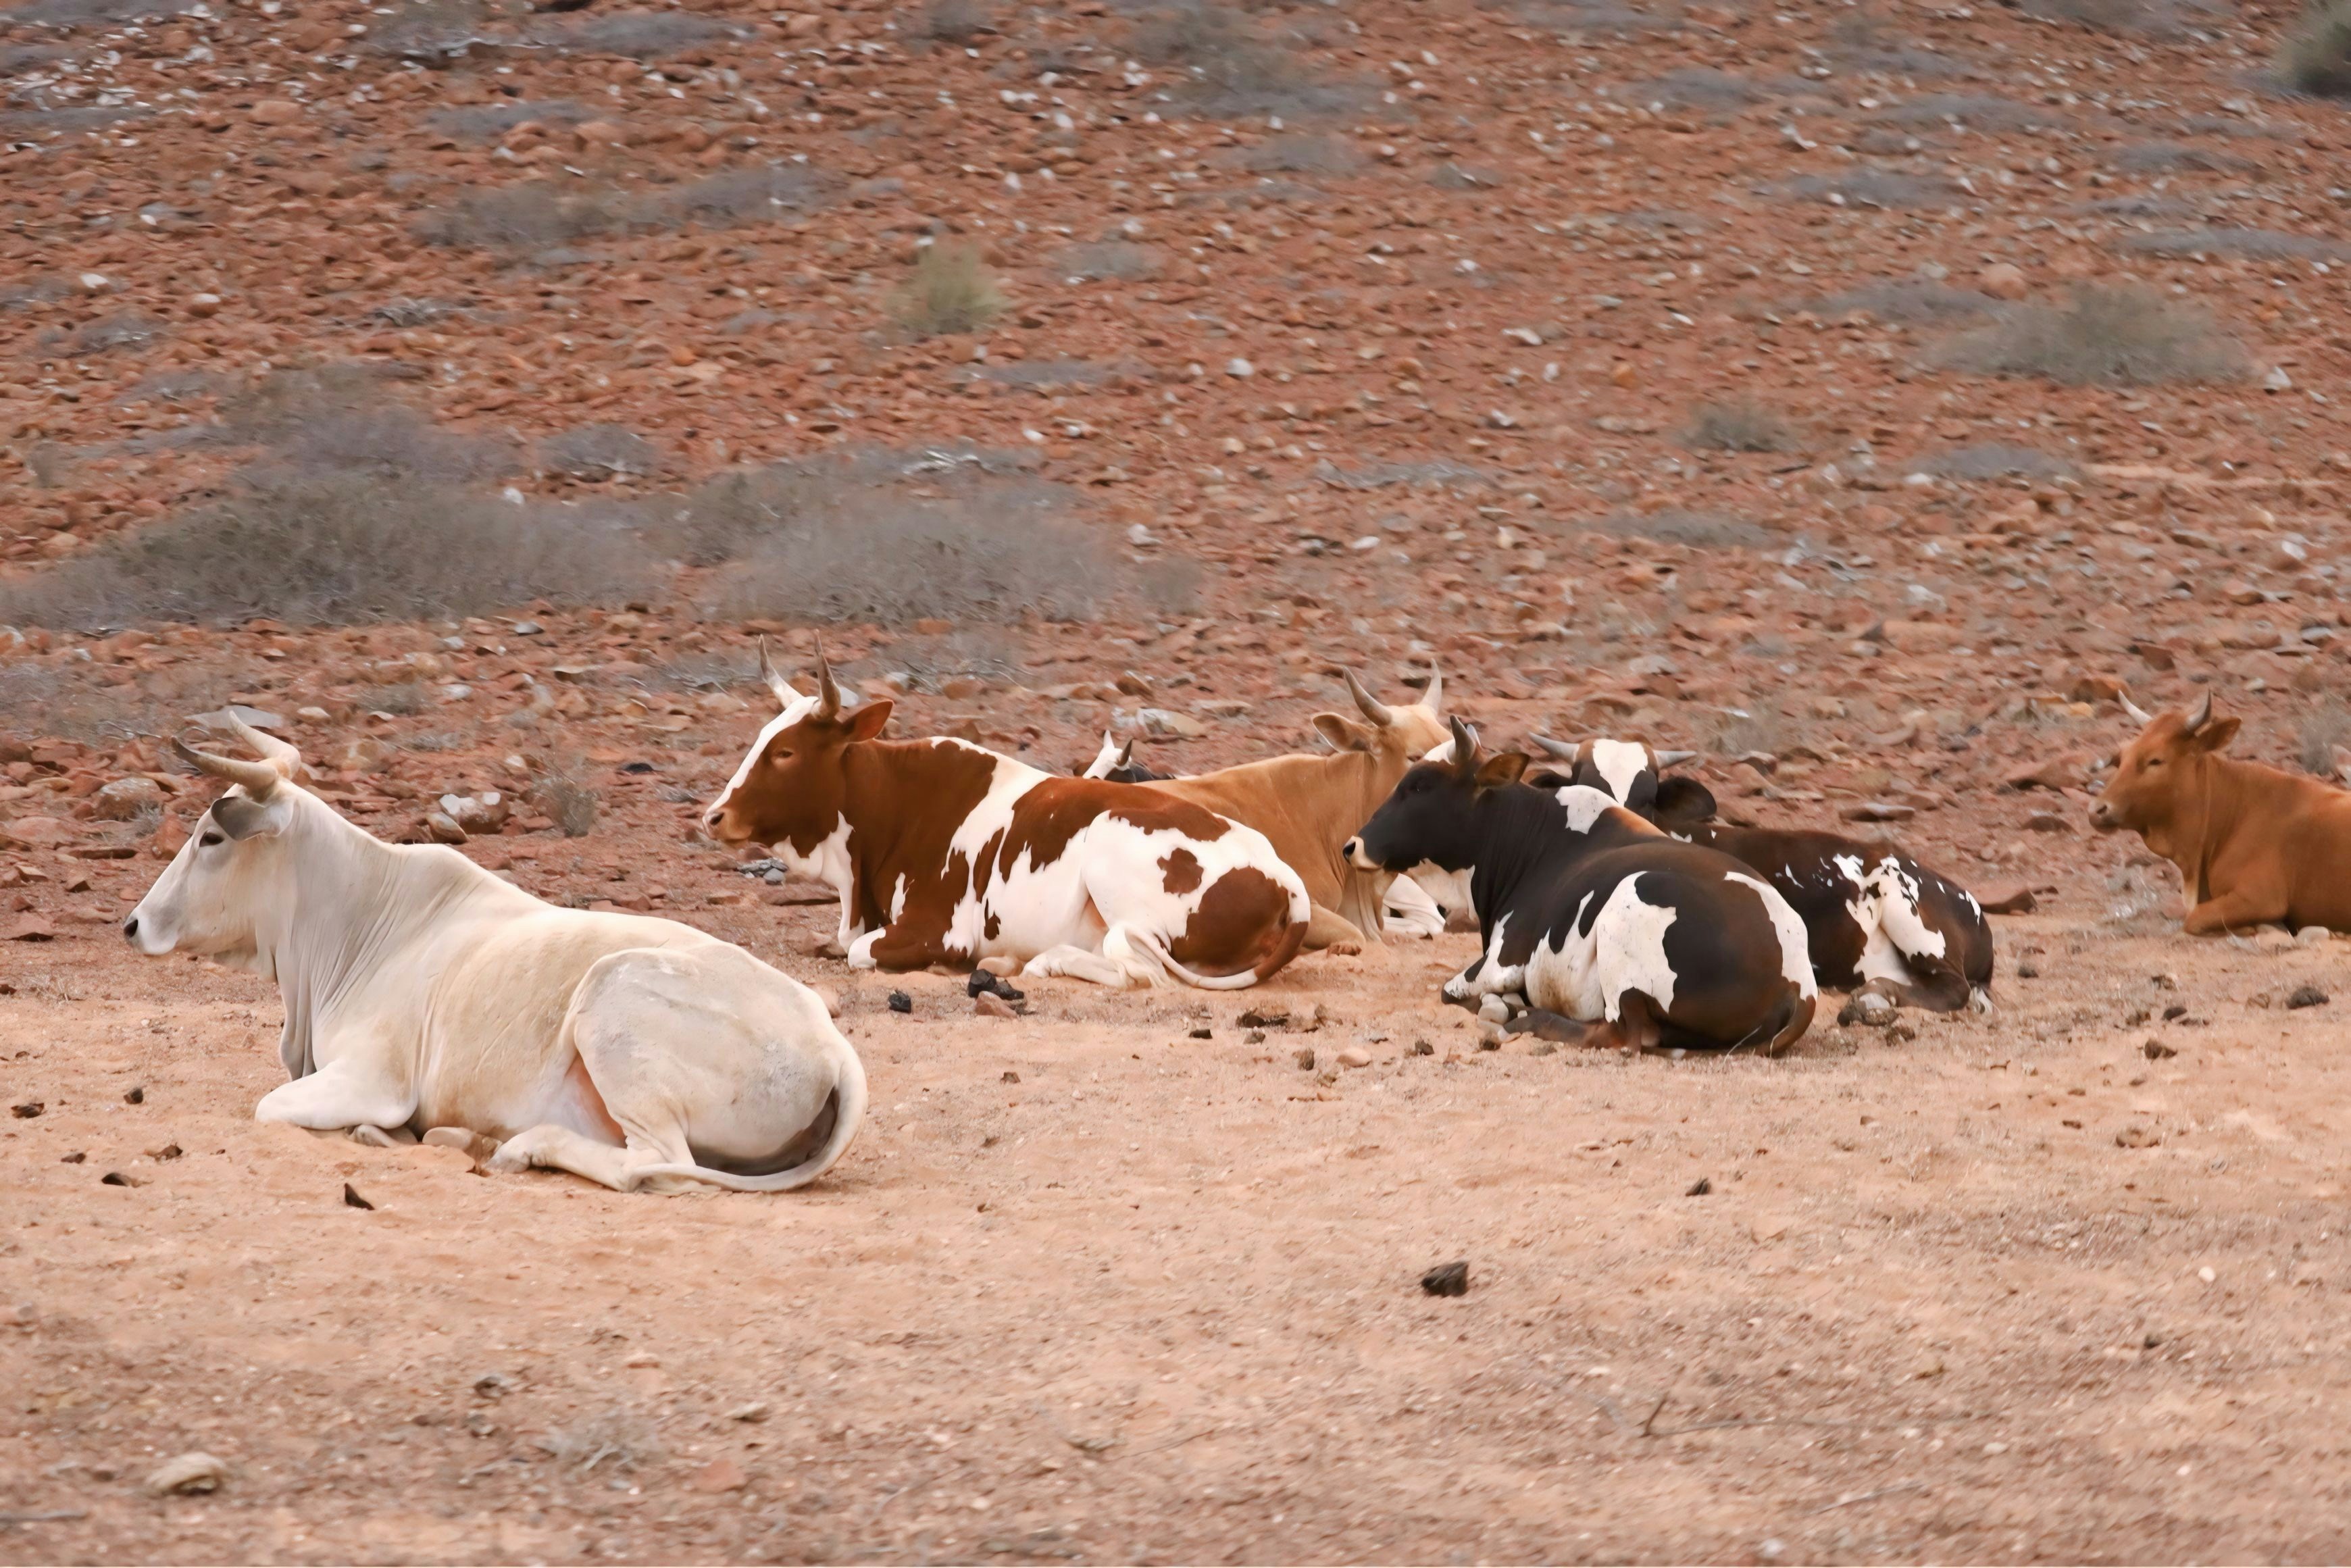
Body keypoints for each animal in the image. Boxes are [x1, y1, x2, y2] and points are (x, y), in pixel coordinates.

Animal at [122, 716, 866, 1194]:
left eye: (212, 836)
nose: (134, 925)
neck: (362, 920)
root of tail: (832, 1050)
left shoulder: (370, 1079)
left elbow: (271, 1108)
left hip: (610, 1000)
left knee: (654, 1166)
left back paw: (520, 1145)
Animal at [703, 646, 1310, 988]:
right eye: (760, 739)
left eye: (785, 752)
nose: (714, 816)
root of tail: (1283, 875)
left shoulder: (938, 931)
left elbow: (857, 951)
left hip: (1111, 840)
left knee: (1141, 970)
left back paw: (1045, 963)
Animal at [1342, 719, 1816, 1053]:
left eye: (1419, 786)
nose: (1353, 845)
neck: (1532, 842)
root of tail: (1797, 983)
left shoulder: (1500, 963)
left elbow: (1452, 991)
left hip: (1630, 905)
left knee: (1624, 1036)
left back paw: (1528, 1020)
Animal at [1532, 735, 1995, 1014]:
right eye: (1586, 790)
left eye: (1646, 800)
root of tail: (1966, 899)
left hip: (1904, 901)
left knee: (1952, 988)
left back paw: (1876, 996)